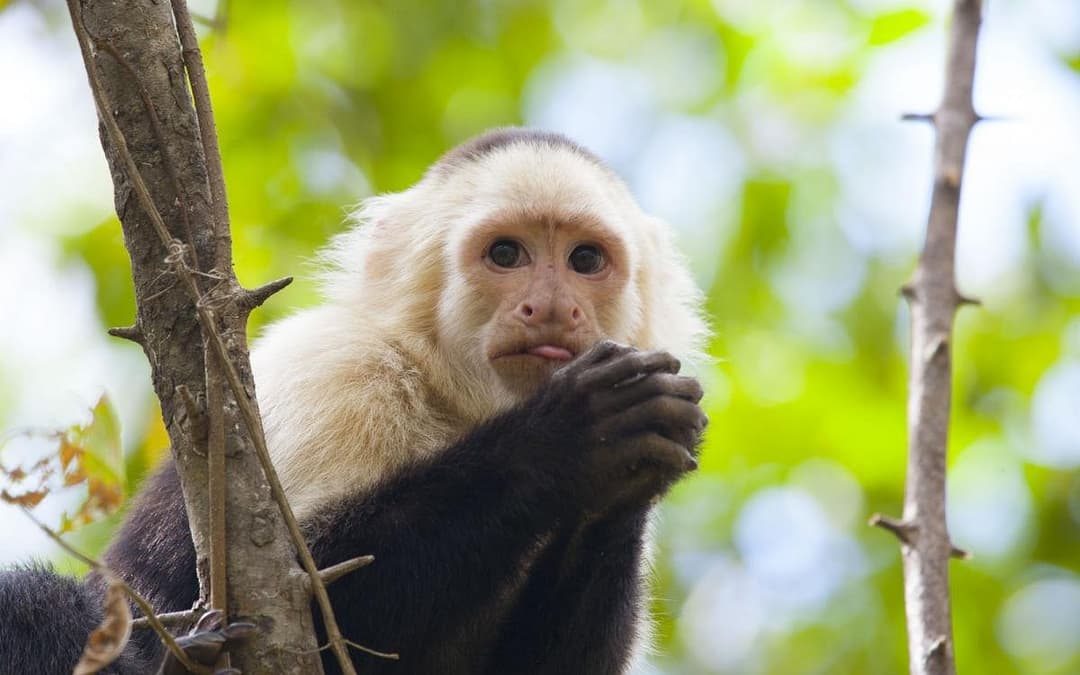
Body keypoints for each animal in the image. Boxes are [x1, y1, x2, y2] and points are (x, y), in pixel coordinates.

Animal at [0, 127, 708, 673]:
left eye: (585, 260)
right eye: (507, 253)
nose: (554, 308)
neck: (456, 404)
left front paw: (624, 477)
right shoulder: (338, 373)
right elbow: (296, 603)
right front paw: (571, 439)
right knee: (36, 605)